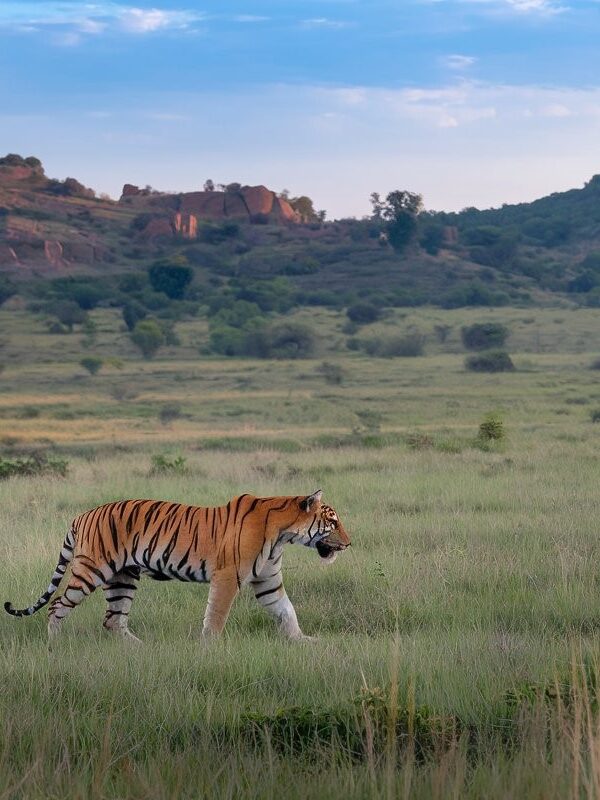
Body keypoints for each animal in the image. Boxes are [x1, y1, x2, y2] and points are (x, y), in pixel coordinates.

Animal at [4, 489, 350, 642]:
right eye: (333, 523)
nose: (348, 543)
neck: (282, 534)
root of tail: (81, 515)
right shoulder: (228, 576)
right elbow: (216, 615)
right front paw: (210, 647)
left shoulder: (268, 580)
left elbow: (286, 611)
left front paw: (303, 642)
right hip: (91, 570)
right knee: (57, 605)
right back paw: (54, 645)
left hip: (122, 578)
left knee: (113, 620)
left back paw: (141, 650)